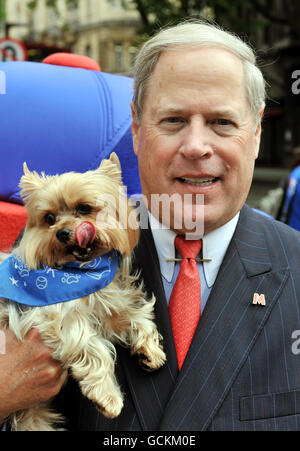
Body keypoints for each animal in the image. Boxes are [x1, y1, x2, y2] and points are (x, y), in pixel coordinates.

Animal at [0, 154, 165, 430]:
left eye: (84, 208)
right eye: (49, 218)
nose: (63, 233)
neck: (81, 271)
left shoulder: (108, 301)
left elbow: (135, 315)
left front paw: (149, 350)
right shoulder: (55, 316)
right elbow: (91, 345)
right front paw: (107, 397)